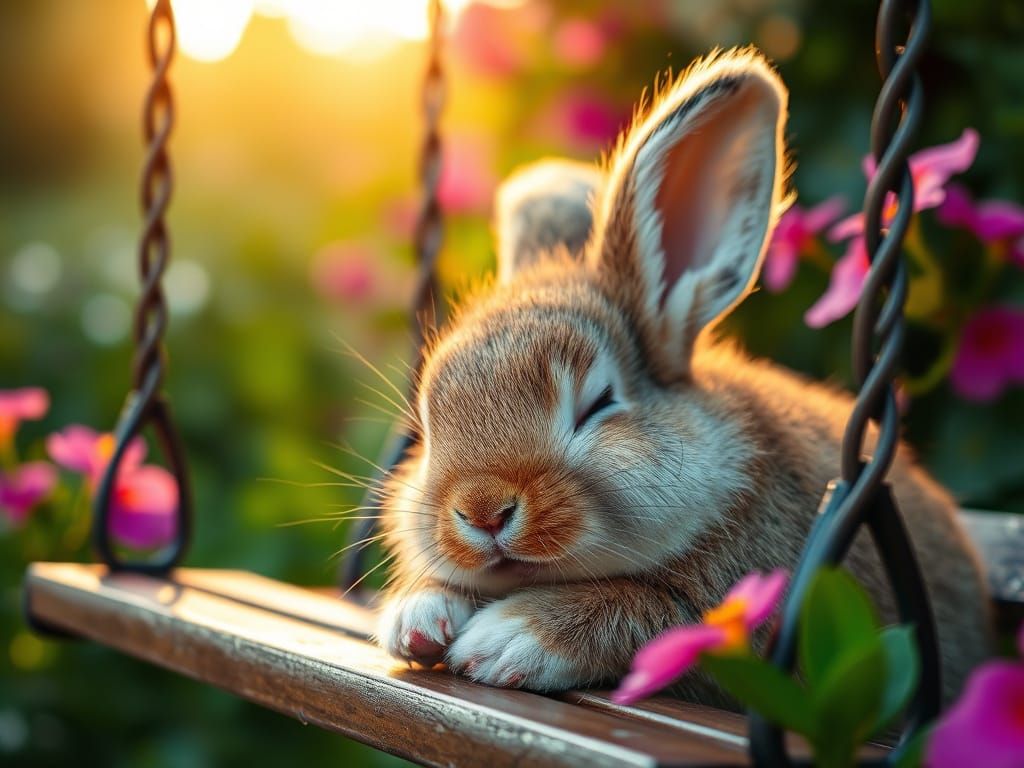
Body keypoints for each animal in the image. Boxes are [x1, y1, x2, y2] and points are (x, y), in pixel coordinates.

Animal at [374, 48, 992, 706]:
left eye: (599, 403)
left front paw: (503, 641)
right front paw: (416, 619)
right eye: (429, 424)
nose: (483, 511)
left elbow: (642, 610)